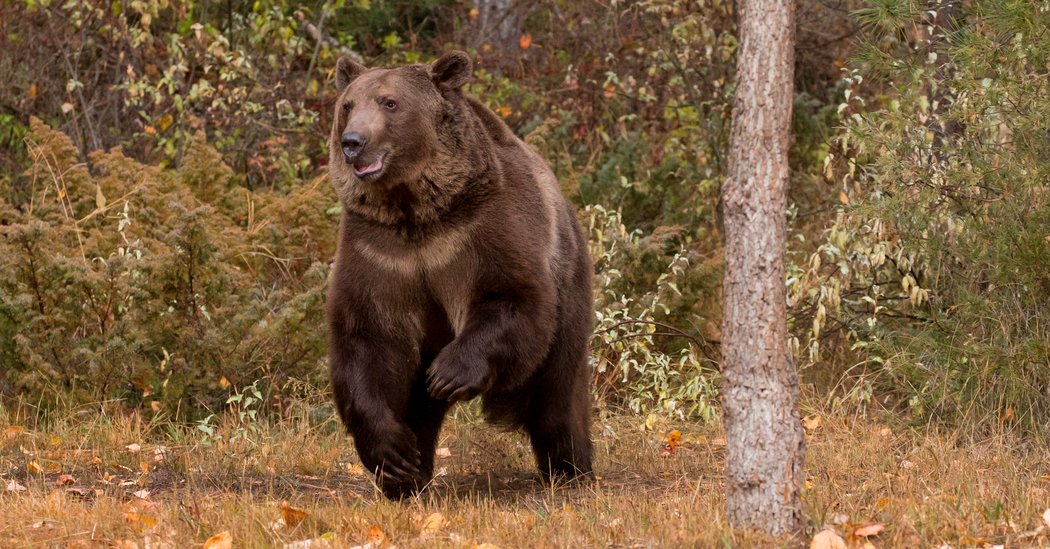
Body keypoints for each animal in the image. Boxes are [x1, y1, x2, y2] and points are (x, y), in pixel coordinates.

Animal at [323, 50, 596, 497]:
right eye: (347, 105)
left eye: (390, 102)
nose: (353, 142)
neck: (417, 211)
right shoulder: (379, 252)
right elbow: (368, 337)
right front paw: (391, 454)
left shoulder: (483, 230)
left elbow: (511, 297)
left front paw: (448, 375)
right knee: (417, 406)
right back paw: (408, 476)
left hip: (569, 288)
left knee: (558, 396)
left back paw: (570, 468)